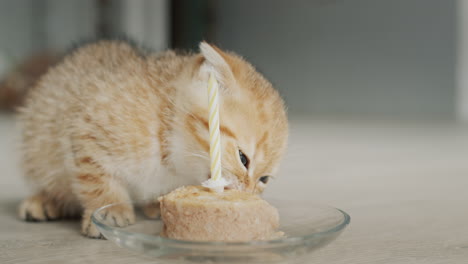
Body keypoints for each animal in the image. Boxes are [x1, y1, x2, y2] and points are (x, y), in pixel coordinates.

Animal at [16, 40, 288, 237]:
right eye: (243, 158)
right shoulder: (85, 128)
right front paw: (110, 209)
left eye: (264, 179)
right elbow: (96, 178)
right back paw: (43, 201)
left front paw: (154, 206)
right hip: (39, 142)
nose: (248, 193)